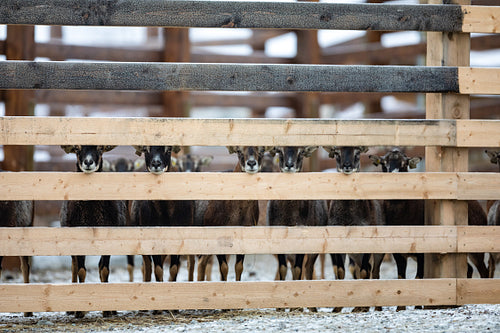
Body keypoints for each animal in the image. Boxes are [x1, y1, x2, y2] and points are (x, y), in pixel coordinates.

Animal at [59, 145, 128, 316]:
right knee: (73, 266)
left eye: (100, 148)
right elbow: (81, 271)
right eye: (77, 149)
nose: (88, 162)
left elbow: (104, 270)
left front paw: (107, 311)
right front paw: (79, 311)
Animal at [266, 146, 328, 282]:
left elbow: (299, 270)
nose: (289, 165)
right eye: (280, 151)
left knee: (308, 267)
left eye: (301, 152)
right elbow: (283, 268)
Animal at [324, 145, 382, 312]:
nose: (347, 165)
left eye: (357, 153)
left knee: (374, 271)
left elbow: (364, 271)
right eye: (337, 153)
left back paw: (376, 307)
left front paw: (363, 307)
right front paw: (337, 308)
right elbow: (340, 272)